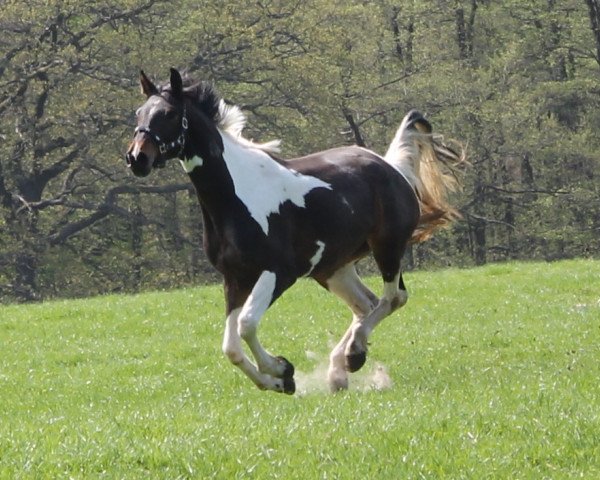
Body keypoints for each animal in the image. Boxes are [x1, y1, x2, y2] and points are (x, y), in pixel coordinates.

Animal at [125, 69, 464, 396]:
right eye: (139, 112)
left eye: (169, 113)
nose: (137, 158)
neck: (236, 196)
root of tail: (392, 168)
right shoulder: (235, 279)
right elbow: (231, 347)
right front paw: (279, 382)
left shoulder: (279, 272)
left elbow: (247, 325)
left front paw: (281, 369)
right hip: (332, 269)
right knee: (366, 304)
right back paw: (338, 370)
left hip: (387, 248)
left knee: (394, 298)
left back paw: (354, 354)